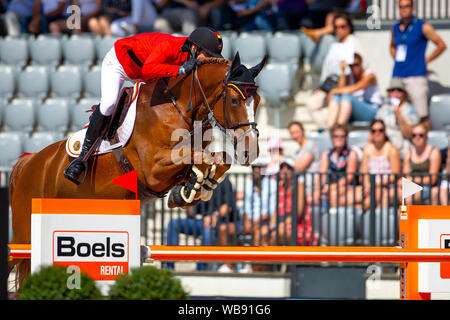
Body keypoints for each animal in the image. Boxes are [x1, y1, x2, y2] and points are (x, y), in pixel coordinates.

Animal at [8, 53, 268, 290]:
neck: (178, 107)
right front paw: (193, 187)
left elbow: (216, 160)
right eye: (234, 101)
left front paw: (191, 190)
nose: (250, 151)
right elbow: (201, 157)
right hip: (24, 234)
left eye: (257, 101)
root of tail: (27, 164)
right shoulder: (152, 169)